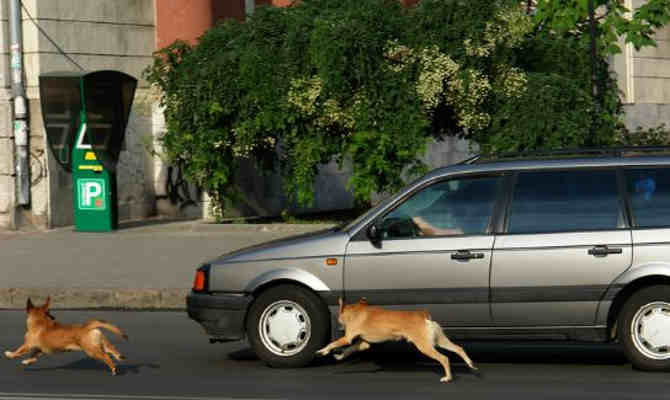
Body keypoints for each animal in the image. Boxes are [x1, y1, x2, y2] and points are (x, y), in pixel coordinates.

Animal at [318, 298, 480, 382]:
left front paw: (322, 351)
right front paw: (339, 356)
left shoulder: (347, 338)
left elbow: (333, 343)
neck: (355, 311)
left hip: (424, 347)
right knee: (458, 348)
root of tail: (423, 315)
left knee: (444, 358)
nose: (339, 322)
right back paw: (470, 364)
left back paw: (448, 377)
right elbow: (349, 350)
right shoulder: (363, 344)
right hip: (439, 341)